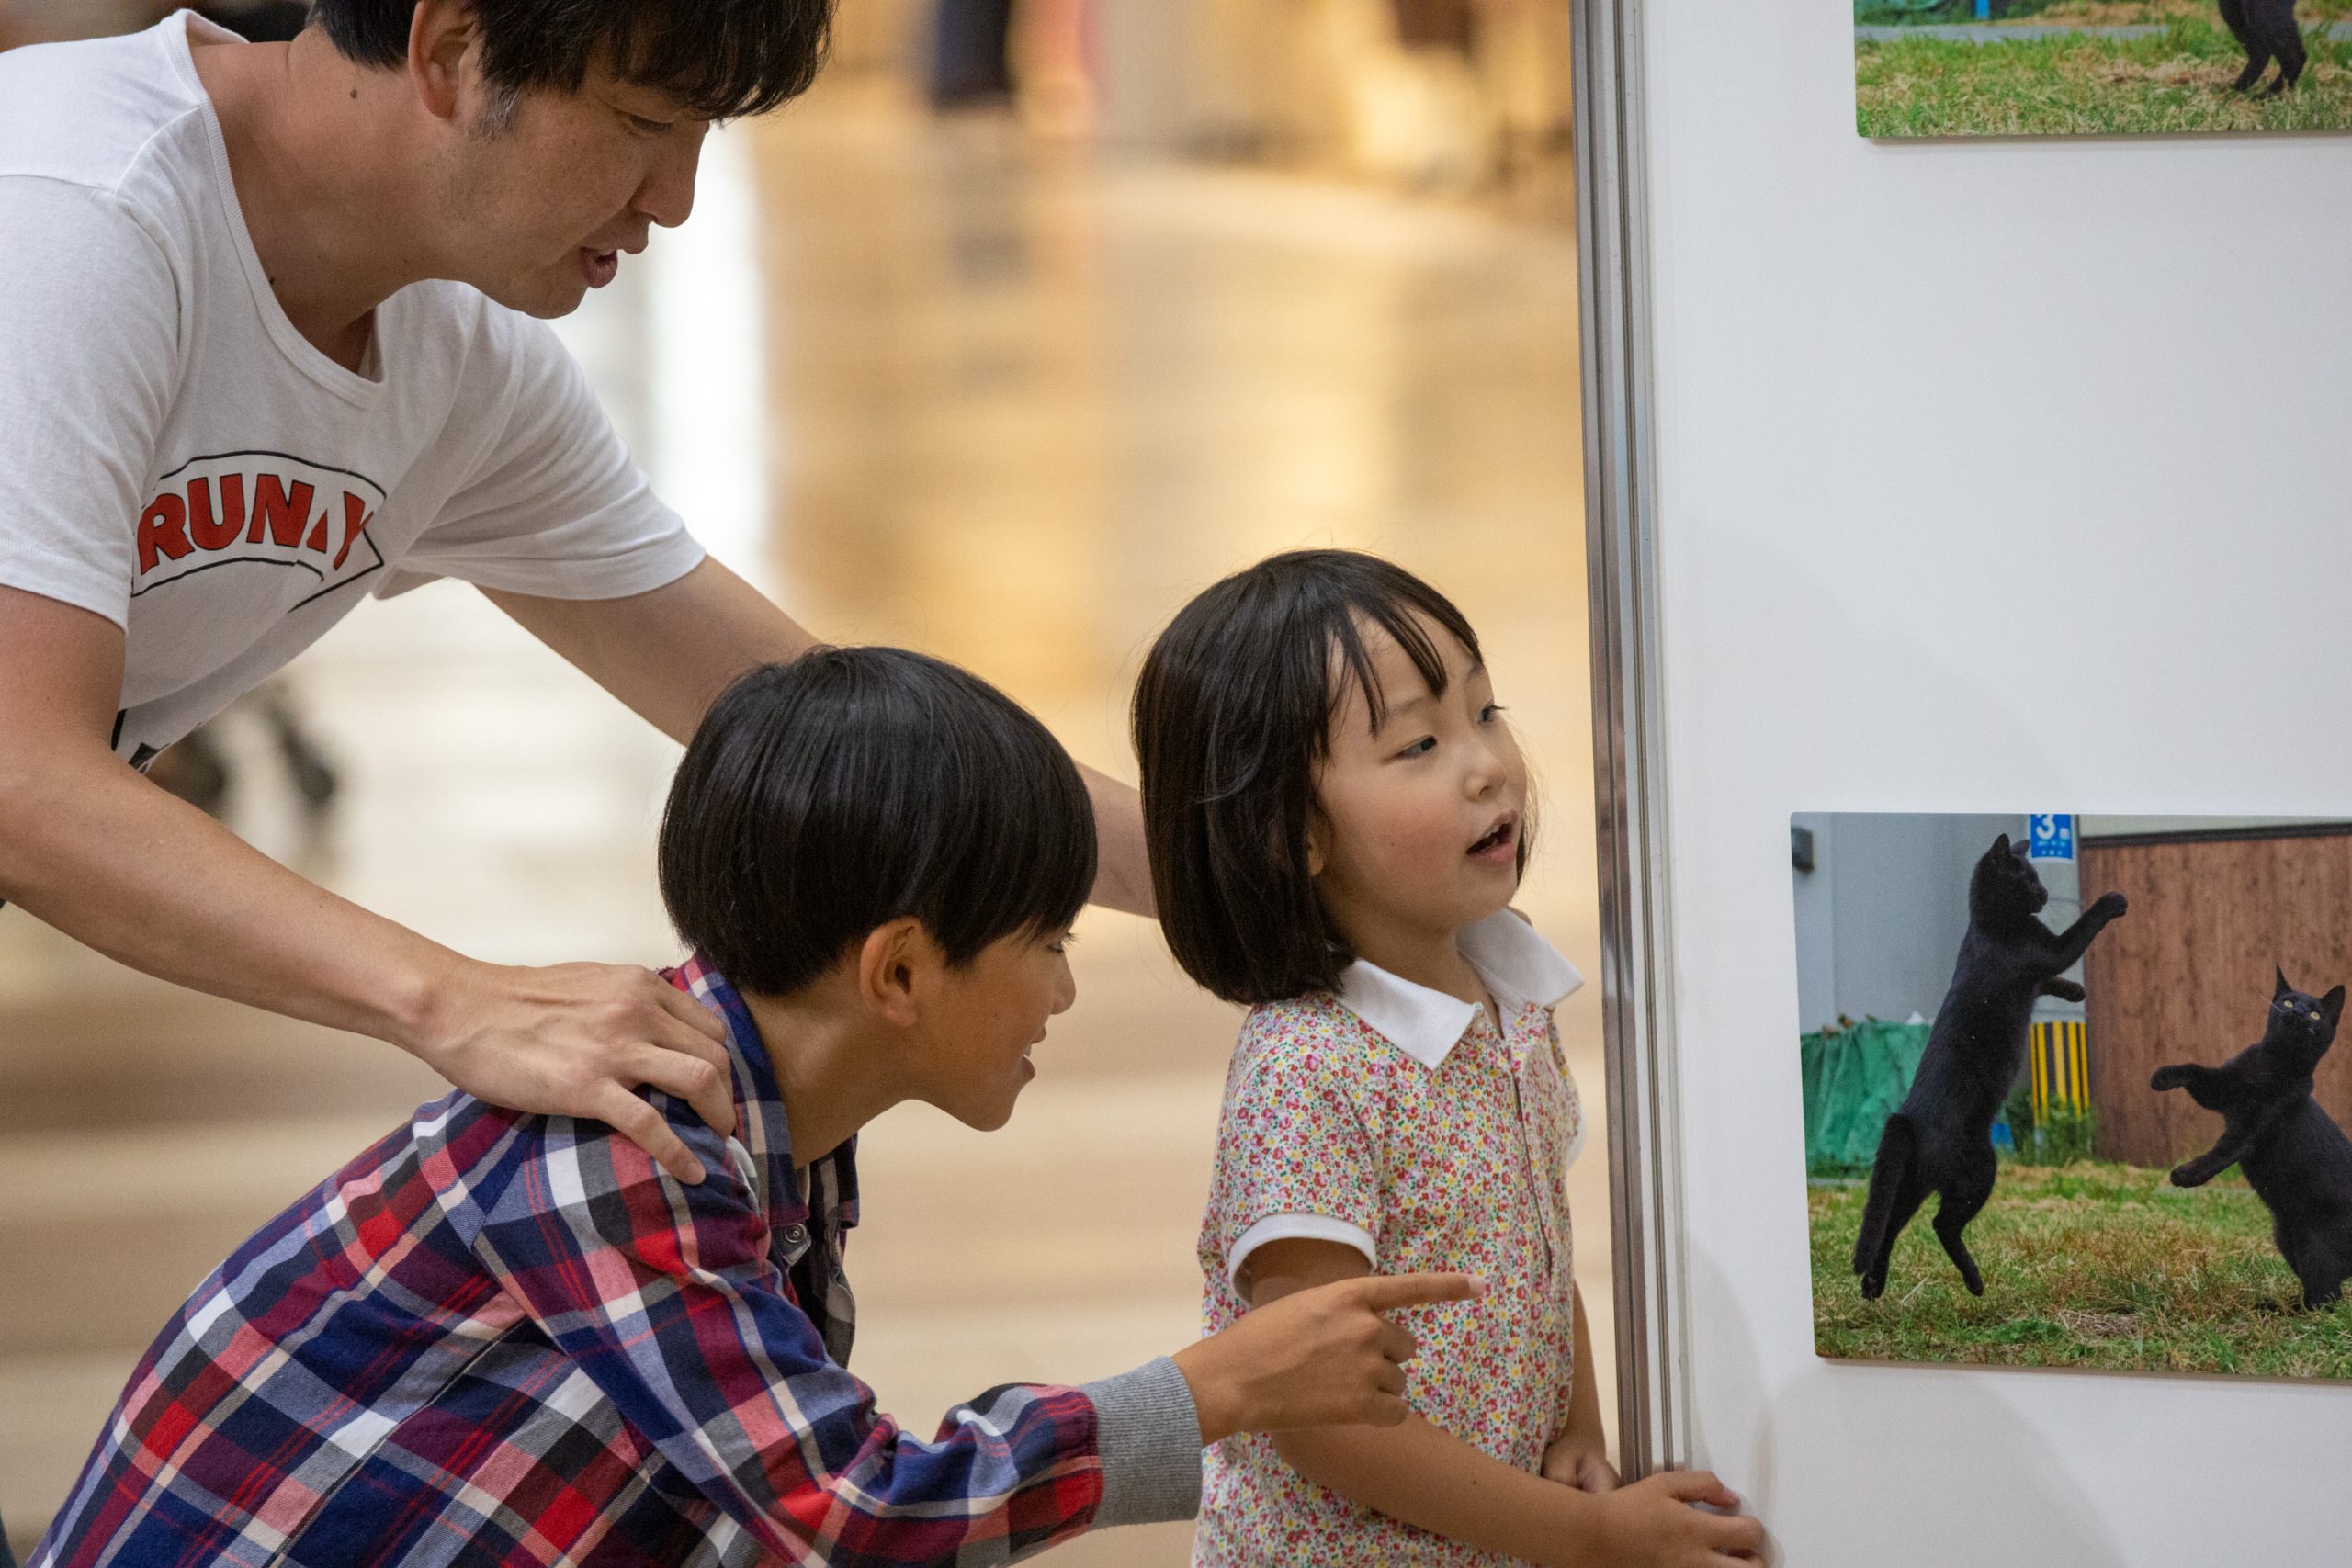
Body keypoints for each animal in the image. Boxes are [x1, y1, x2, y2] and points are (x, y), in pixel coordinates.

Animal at [1853, 841, 2135, 1306]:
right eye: (2029, 877)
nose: (2044, 893)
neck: (1989, 925)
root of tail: (1908, 1118)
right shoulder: (2046, 950)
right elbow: (2078, 933)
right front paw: (2113, 901)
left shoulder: (2037, 969)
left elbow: (2047, 982)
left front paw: (2075, 990)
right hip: (1979, 1169)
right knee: (1941, 1224)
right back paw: (1974, 1282)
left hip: (1911, 1182)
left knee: (1892, 1225)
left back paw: (1874, 1284)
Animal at [2154, 968, 2352, 1316]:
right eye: (2288, 1001)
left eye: (2316, 1013)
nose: (2298, 1012)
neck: (2270, 1067)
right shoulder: (2221, 1090)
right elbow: (2195, 1070)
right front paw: (2162, 1077)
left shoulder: (2253, 1128)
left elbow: (2219, 1155)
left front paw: (2185, 1176)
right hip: (2286, 1235)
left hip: (2317, 1246)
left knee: (2323, 1300)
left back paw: (2271, 1309)